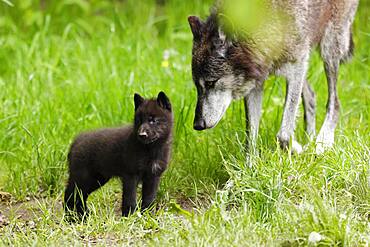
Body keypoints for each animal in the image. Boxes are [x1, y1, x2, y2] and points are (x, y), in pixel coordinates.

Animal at [188, 0, 358, 154]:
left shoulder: (297, 63)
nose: (197, 125)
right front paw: (251, 168)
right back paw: (310, 142)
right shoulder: (256, 82)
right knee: (311, 96)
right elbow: (251, 138)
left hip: (329, 50)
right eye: (197, 86)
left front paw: (296, 147)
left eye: (210, 83)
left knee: (335, 103)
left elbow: (282, 136)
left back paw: (322, 143)